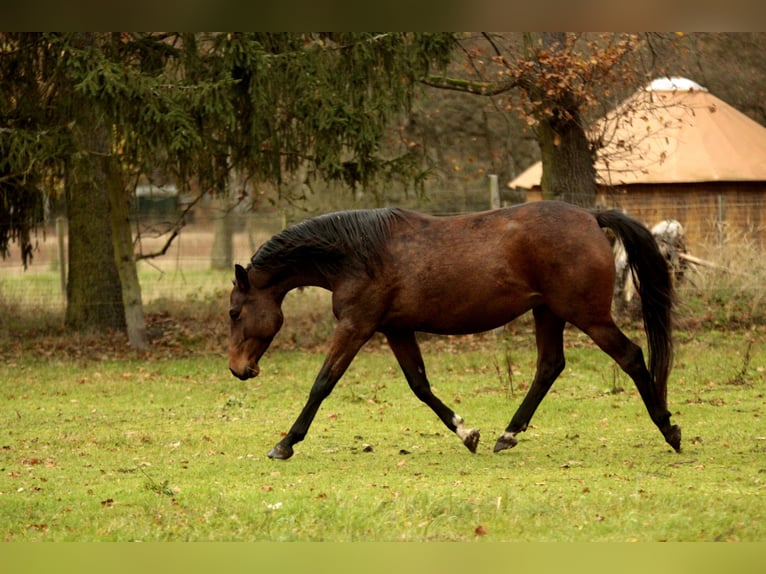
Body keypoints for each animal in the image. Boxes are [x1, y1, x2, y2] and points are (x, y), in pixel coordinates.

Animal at [228, 200, 684, 462]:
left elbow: (323, 383)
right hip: (548, 312)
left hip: (586, 315)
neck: (357, 254)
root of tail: (590, 216)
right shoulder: (396, 329)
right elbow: (420, 386)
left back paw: (669, 429)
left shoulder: (356, 326)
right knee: (549, 366)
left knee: (631, 357)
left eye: (234, 312)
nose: (238, 369)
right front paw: (468, 433)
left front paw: (285, 444)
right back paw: (507, 435)